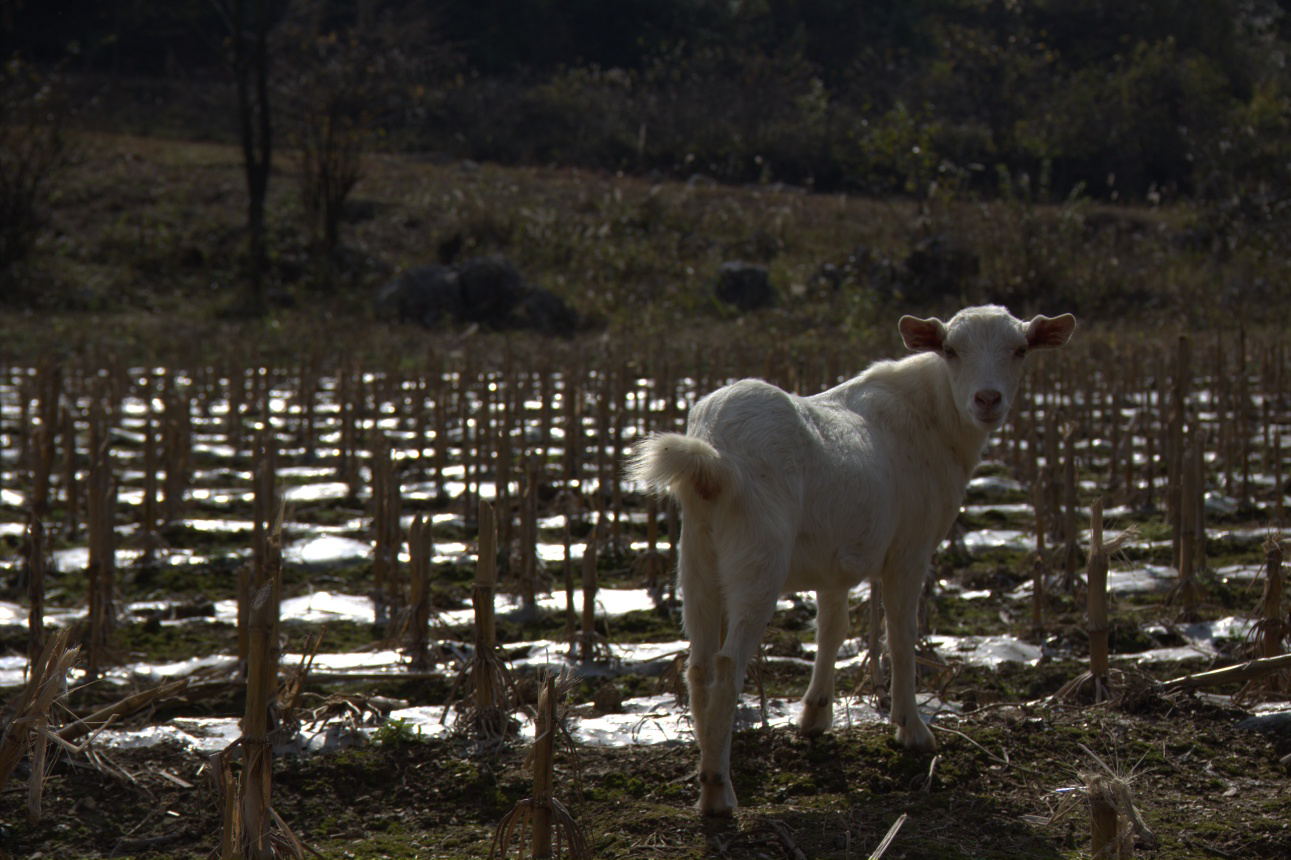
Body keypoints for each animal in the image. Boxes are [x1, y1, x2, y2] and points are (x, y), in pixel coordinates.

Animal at [630, 304, 1074, 816]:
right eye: (951, 349)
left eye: (1020, 349)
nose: (987, 399)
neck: (934, 417)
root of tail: (713, 455)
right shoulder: (910, 548)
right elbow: (900, 634)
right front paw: (911, 728)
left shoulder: (833, 561)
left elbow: (832, 628)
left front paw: (814, 716)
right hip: (757, 556)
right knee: (726, 668)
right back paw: (720, 793)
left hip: (698, 559)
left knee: (699, 667)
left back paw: (706, 781)